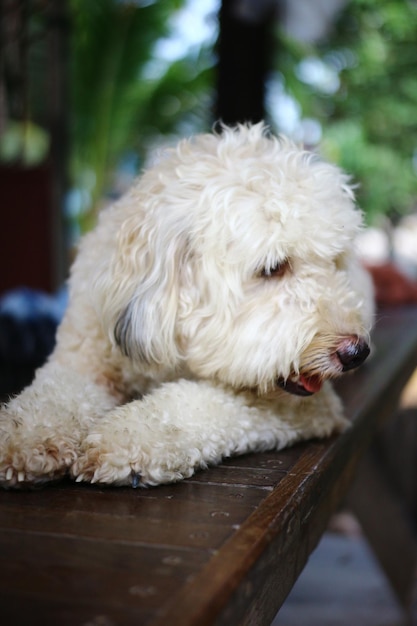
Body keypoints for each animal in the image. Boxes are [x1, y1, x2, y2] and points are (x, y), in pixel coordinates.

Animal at [0, 123, 370, 488]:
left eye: (335, 261)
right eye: (273, 267)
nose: (357, 352)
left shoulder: (313, 406)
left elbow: (199, 404)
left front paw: (129, 439)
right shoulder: (81, 359)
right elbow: (54, 396)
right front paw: (24, 437)